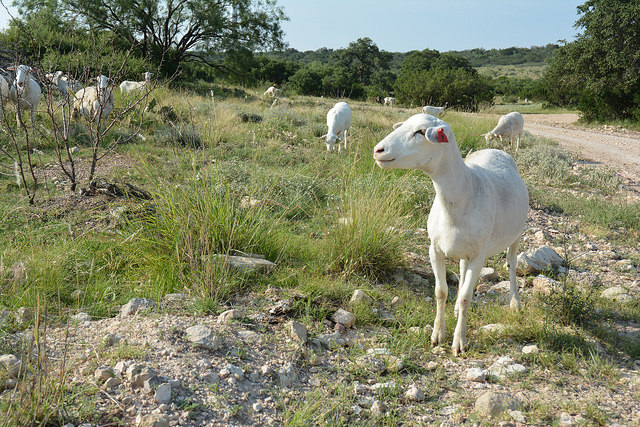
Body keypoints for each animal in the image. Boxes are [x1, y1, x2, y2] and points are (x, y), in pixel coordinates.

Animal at [372, 113, 528, 354]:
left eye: (420, 132)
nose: (378, 150)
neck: (463, 194)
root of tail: (496, 150)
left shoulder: (479, 255)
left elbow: (465, 297)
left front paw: (459, 341)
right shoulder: (434, 249)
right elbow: (441, 291)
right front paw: (438, 334)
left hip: (516, 235)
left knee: (511, 265)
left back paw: (515, 303)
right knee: (463, 270)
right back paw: (455, 310)